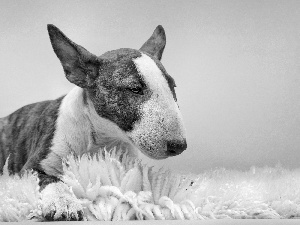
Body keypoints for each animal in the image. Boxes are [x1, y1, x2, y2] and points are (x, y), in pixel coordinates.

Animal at [0, 24, 186, 220]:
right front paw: (64, 203)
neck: (102, 138)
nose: (179, 146)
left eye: (172, 86)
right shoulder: (31, 168)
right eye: (135, 89)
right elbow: (53, 180)